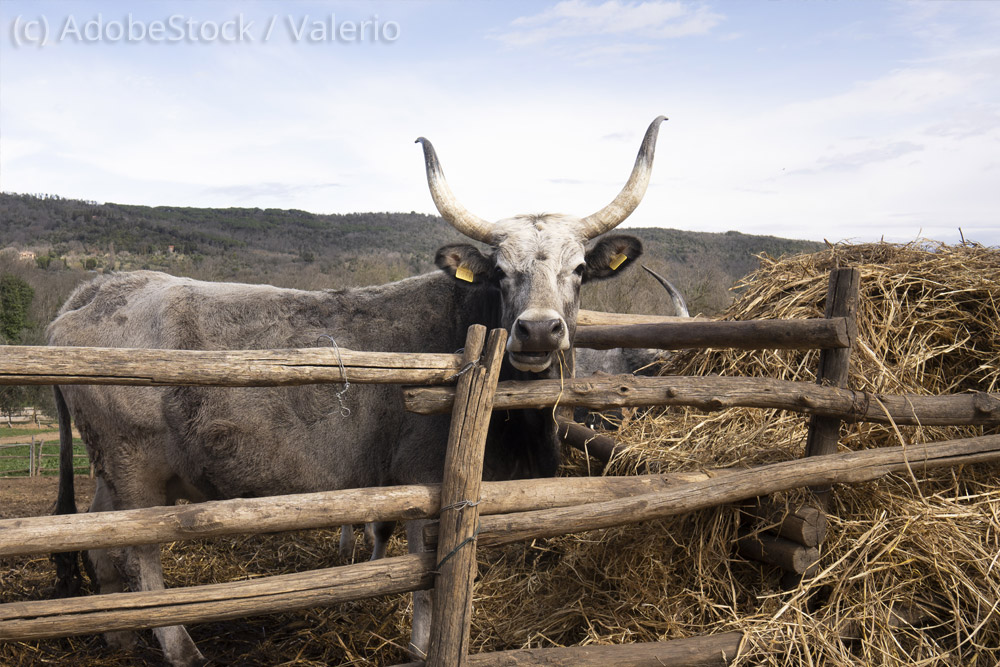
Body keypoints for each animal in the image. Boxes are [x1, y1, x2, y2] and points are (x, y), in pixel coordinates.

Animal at [50, 117, 668, 664]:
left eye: (580, 270)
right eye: (499, 272)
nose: (537, 329)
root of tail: (98, 289)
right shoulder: (427, 485)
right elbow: (426, 586)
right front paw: (420, 648)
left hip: (112, 471)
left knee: (100, 542)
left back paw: (118, 637)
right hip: (136, 472)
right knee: (140, 555)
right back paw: (182, 649)